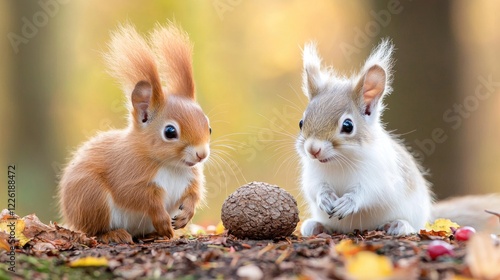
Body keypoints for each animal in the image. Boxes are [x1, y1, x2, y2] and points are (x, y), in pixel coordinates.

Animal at [57, 23, 210, 243]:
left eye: (209, 126)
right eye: (170, 131)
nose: (202, 154)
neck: (171, 166)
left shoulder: (191, 178)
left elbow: (194, 194)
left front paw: (186, 215)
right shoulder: (128, 175)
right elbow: (139, 197)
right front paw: (162, 219)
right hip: (92, 198)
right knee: (93, 230)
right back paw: (114, 234)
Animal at [296, 39, 500, 236]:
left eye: (348, 126)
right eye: (301, 122)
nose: (313, 149)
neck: (338, 162)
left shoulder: (379, 177)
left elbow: (369, 193)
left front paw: (348, 202)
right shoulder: (313, 175)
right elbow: (314, 188)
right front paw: (324, 197)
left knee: (412, 227)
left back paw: (398, 225)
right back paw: (315, 226)